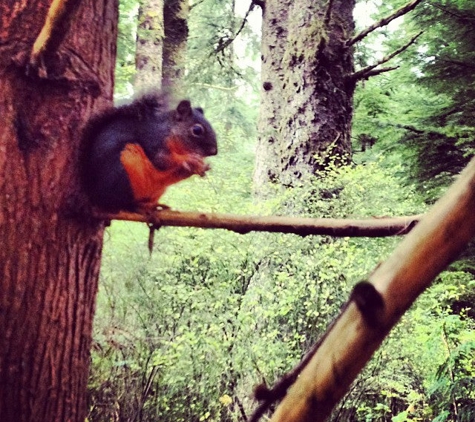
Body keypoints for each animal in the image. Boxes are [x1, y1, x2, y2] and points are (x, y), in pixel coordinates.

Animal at [81, 91, 218, 213]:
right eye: (197, 130)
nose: (214, 151)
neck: (169, 131)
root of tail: (96, 197)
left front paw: (200, 167)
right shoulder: (153, 140)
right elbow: (161, 160)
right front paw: (188, 159)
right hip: (123, 171)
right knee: (122, 204)